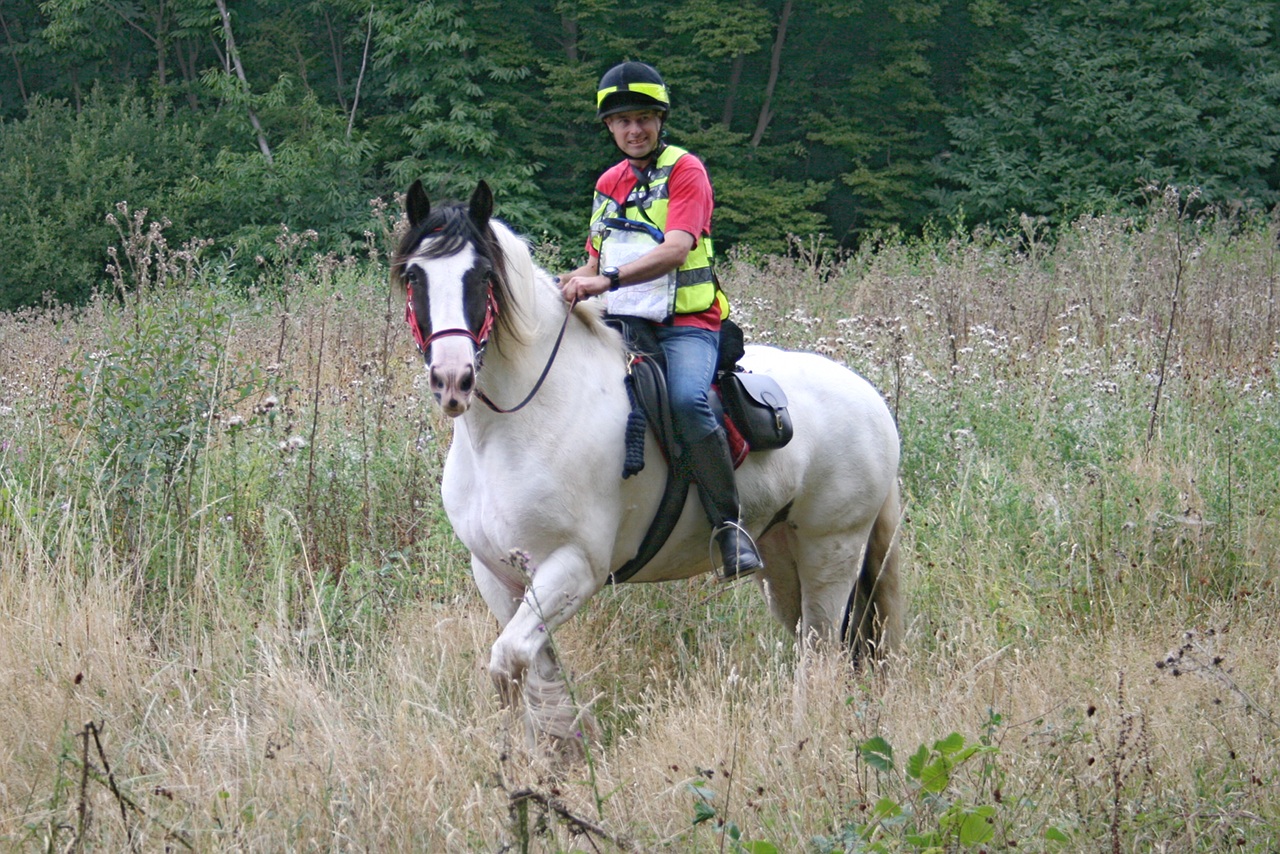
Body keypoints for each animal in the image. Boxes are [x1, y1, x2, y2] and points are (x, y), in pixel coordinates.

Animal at [389, 181, 901, 752]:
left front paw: (566, 745)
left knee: (823, 651)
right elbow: (533, 668)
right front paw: (558, 747)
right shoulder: (498, 576)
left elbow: (509, 662)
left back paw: (802, 735)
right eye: (414, 275)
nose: (452, 380)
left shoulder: (573, 567)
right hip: (781, 555)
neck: (520, 422)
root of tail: (872, 400)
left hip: (832, 550)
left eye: (481, 275)